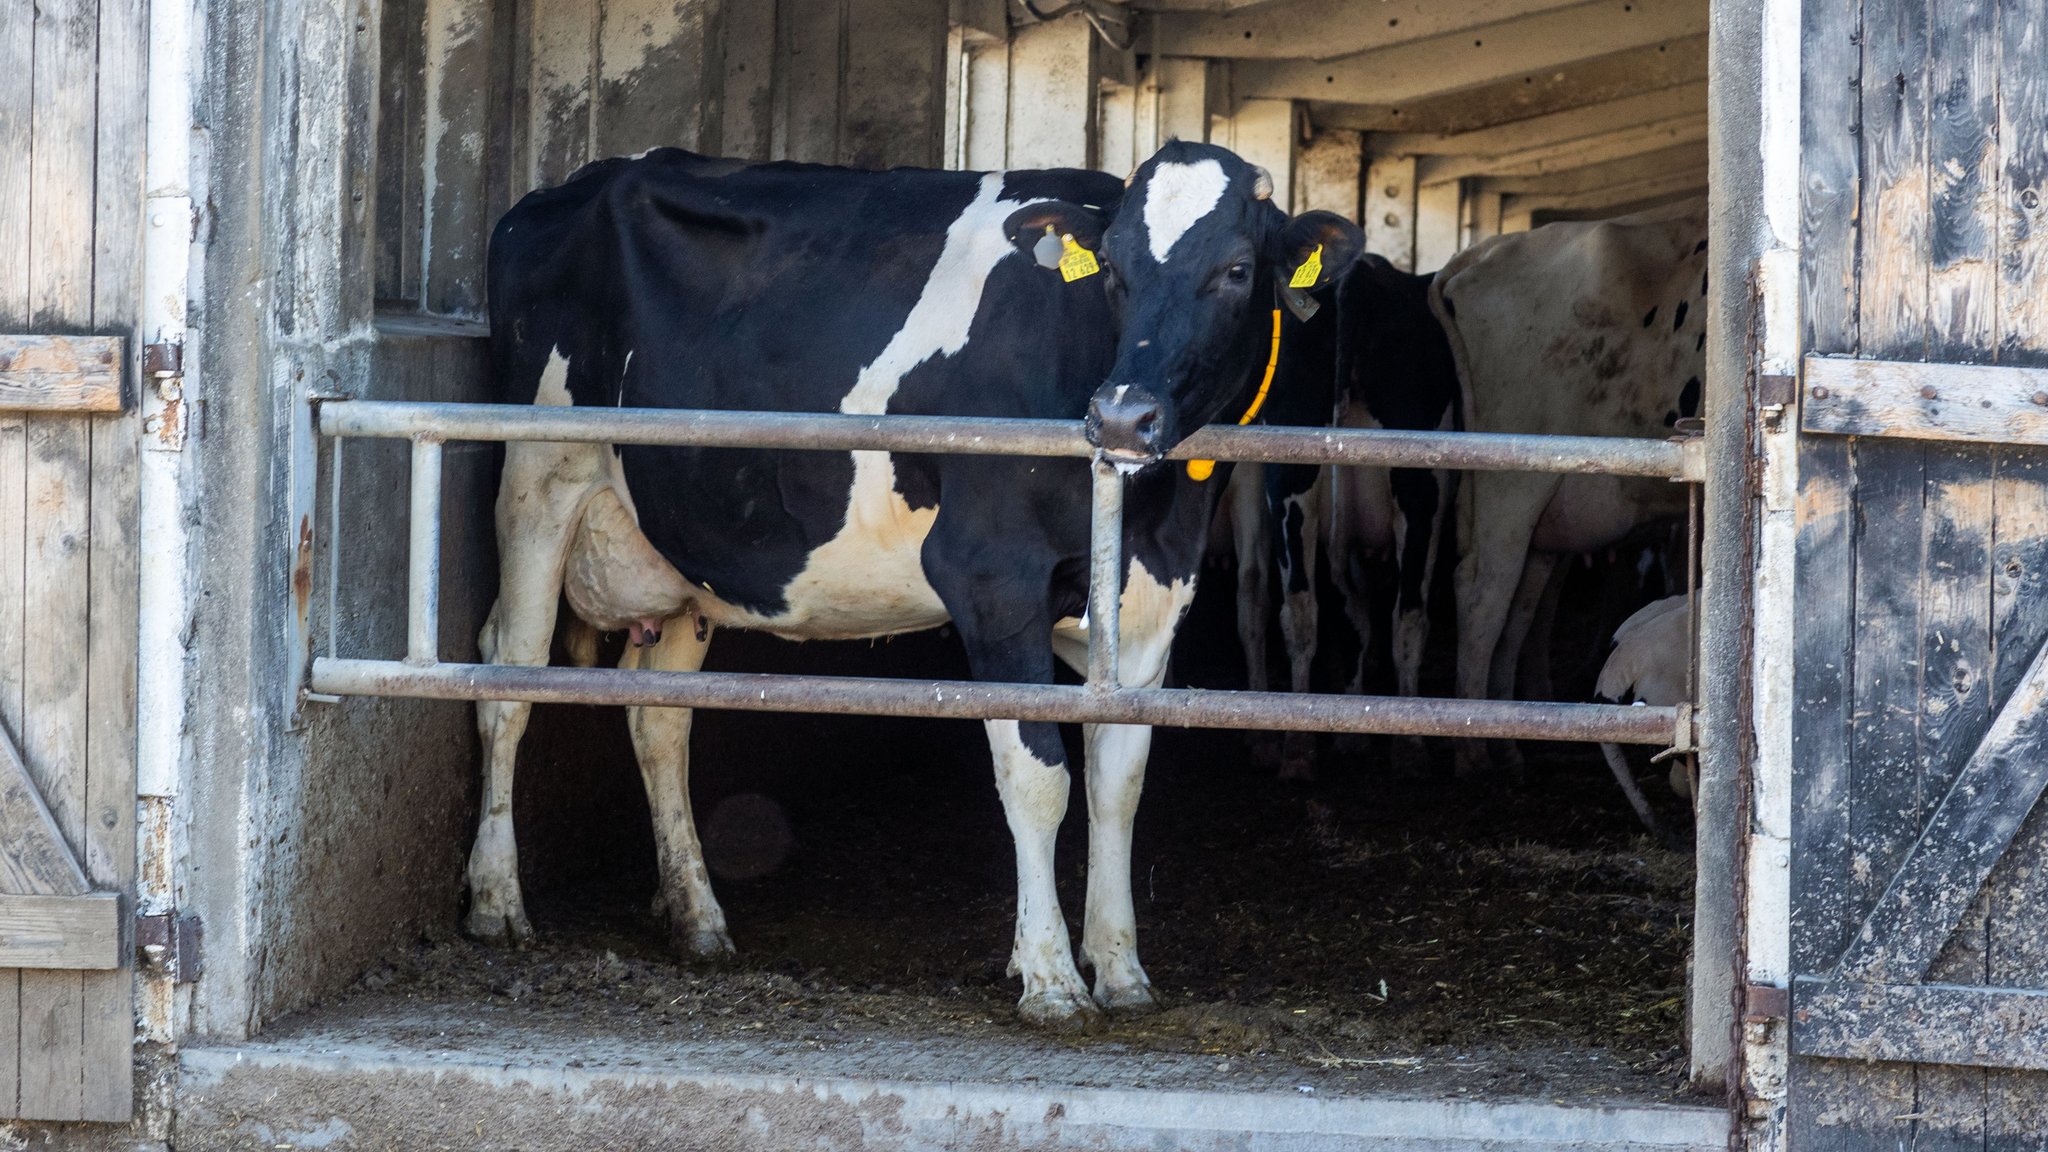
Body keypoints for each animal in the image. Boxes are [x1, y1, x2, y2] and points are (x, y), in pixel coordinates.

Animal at [462, 139, 1359, 1024]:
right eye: (1111, 264)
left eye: (1237, 268)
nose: (1120, 417)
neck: (1153, 508)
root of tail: (582, 179)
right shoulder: (993, 579)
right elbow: (1038, 777)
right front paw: (1050, 978)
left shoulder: (1152, 600)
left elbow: (1118, 780)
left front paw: (1121, 969)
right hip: (539, 476)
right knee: (507, 677)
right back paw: (497, 900)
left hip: (685, 540)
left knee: (659, 715)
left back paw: (696, 917)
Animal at [1425, 199, 1712, 770]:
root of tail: (1484, 250)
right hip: (1511, 481)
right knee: (1482, 590)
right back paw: (1471, 748)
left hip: (1548, 508)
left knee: (1521, 605)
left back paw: (1512, 739)